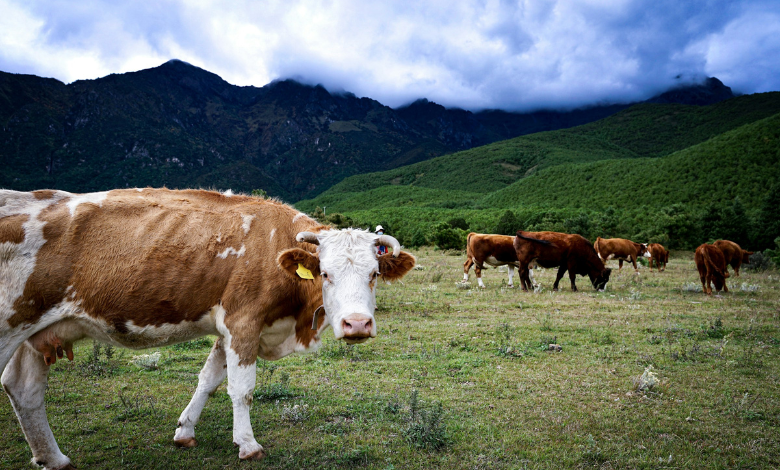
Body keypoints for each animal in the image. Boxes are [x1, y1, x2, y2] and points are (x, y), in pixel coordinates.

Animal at [0, 188, 418, 470]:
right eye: (326, 274)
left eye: (374, 274)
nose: (357, 324)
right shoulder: (243, 320)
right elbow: (241, 388)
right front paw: (247, 444)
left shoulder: (230, 330)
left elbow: (209, 378)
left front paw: (185, 431)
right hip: (9, 324)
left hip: (35, 330)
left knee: (24, 388)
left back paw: (54, 458)